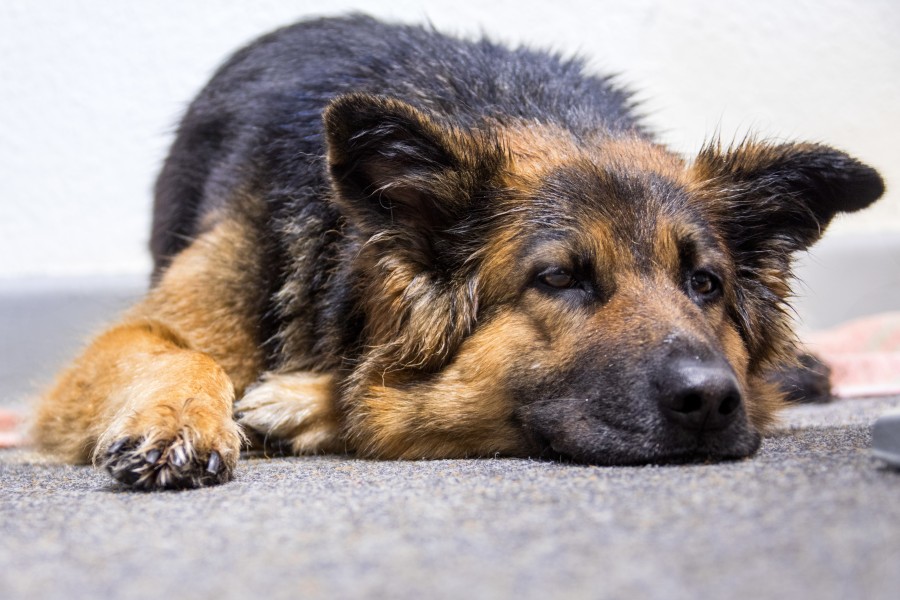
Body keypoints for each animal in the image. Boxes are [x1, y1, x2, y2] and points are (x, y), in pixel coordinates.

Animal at [29, 16, 884, 490]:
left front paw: (298, 403)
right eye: (560, 279)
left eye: (704, 283)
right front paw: (181, 419)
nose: (710, 400)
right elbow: (180, 351)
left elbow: (373, 402)